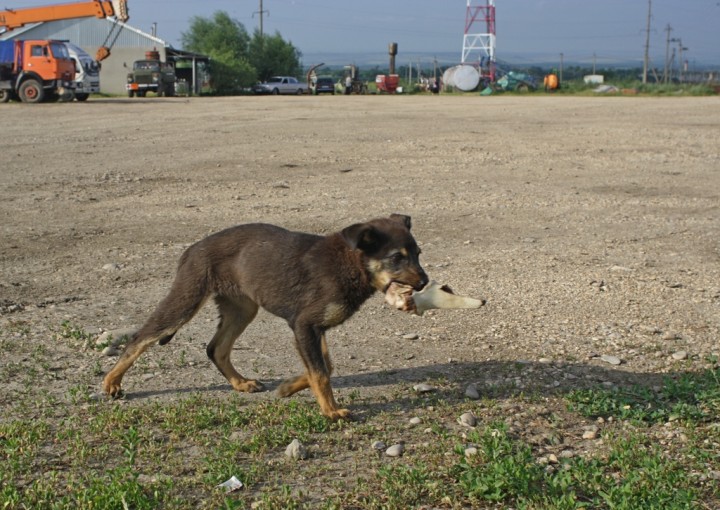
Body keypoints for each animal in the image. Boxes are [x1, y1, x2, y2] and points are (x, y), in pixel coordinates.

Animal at [101, 213, 428, 420]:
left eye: (418, 253)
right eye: (396, 257)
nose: (425, 282)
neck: (351, 263)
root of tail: (191, 250)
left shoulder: (314, 329)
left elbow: (325, 367)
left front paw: (288, 388)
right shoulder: (304, 324)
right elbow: (321, 373)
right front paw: (331, 411)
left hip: (242, 308)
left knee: (216, 348)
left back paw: (240, 383)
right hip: (186, 300)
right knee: (140, 338)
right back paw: (111, 383)